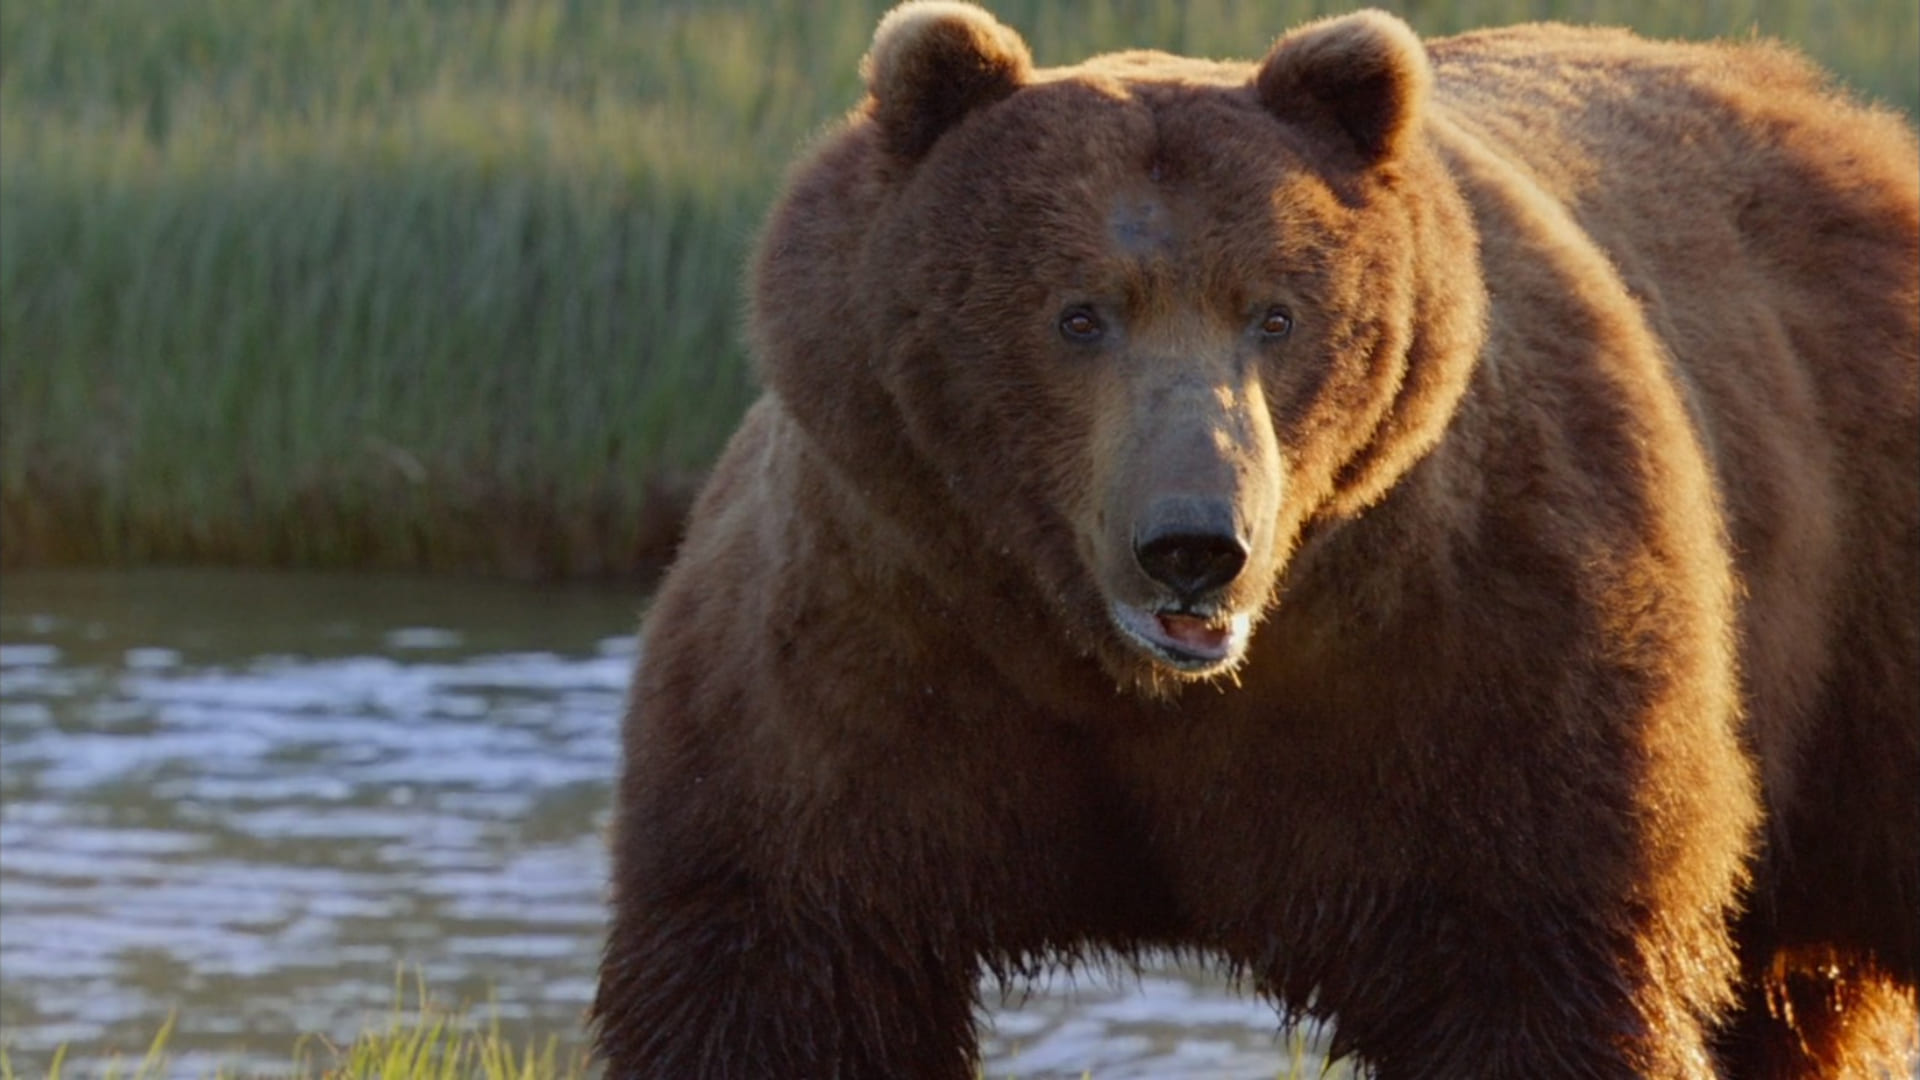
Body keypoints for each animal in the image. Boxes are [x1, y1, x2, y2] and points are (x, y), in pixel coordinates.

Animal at [592, 3, 1920, 1077]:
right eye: (1078, 314)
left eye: (1277, 314)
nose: (1193, 543)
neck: (1118, 670)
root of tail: (1830, 111)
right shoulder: (870, 643)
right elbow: (778, 959)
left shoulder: (1477, 650)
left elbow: (1535, 960)